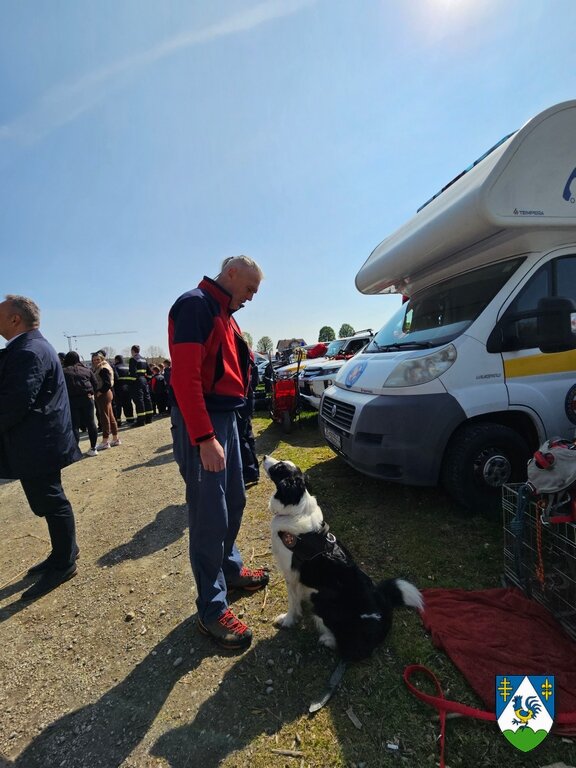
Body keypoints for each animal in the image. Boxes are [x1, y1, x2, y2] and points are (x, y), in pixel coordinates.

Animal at [264, 452, 424, 664]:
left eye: (279, 467)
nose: (264, 457)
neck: (296, 509)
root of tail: (385, 612)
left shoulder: (291, 575)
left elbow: (292, 602)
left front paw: (288, 620)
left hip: (324, 602)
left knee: (352, 649)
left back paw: (328, 640)